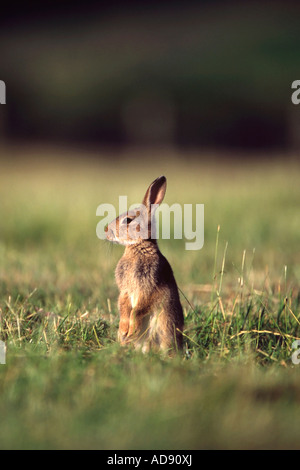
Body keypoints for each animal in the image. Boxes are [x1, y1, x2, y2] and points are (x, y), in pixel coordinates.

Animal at [105, 175, 183, 352]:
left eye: (128, 220)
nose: (106, 231)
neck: (138, 246)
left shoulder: (148, 287)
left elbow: (139, 309)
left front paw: (131, 329)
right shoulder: (125, 289)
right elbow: (124, 306)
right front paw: (124, 330)